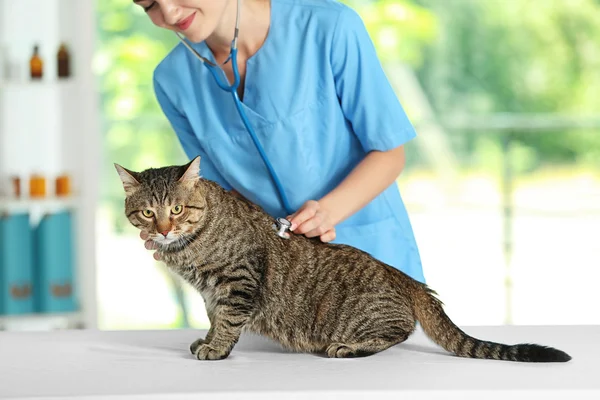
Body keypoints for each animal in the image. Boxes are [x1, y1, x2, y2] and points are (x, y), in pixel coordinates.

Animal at [115, 157, 568, 362]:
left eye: (176, 210)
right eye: (148, 213)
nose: (162, 230)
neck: (189, 247)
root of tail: (408, 279)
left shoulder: (237, 281)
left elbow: (227, 322)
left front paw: (217, 349)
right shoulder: (211, 292)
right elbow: (214, 318)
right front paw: (207, 340)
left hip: (367, 318)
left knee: (398, 333)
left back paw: (347, 347)